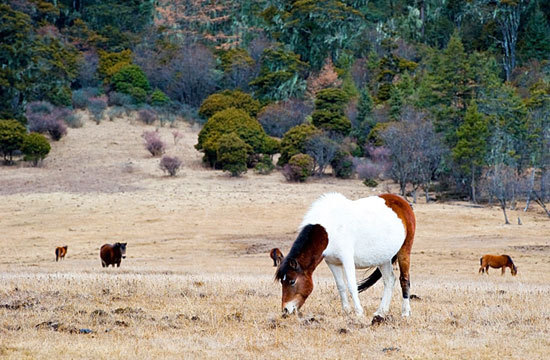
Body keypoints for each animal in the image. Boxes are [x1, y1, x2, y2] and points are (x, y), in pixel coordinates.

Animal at [274, 193, 416, 322]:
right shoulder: (332, 263)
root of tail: (404, 203)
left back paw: (405, 312)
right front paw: (346, 311)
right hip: (383, 258)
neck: (329, 230)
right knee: (389, 280)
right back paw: (381, 312)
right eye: (282, 281)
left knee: (404, 280)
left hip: (404, 250)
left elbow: (352, 286)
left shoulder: (347, 260)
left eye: (292, 281)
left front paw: (359, 312)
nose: (285, 310)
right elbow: (341, 286)